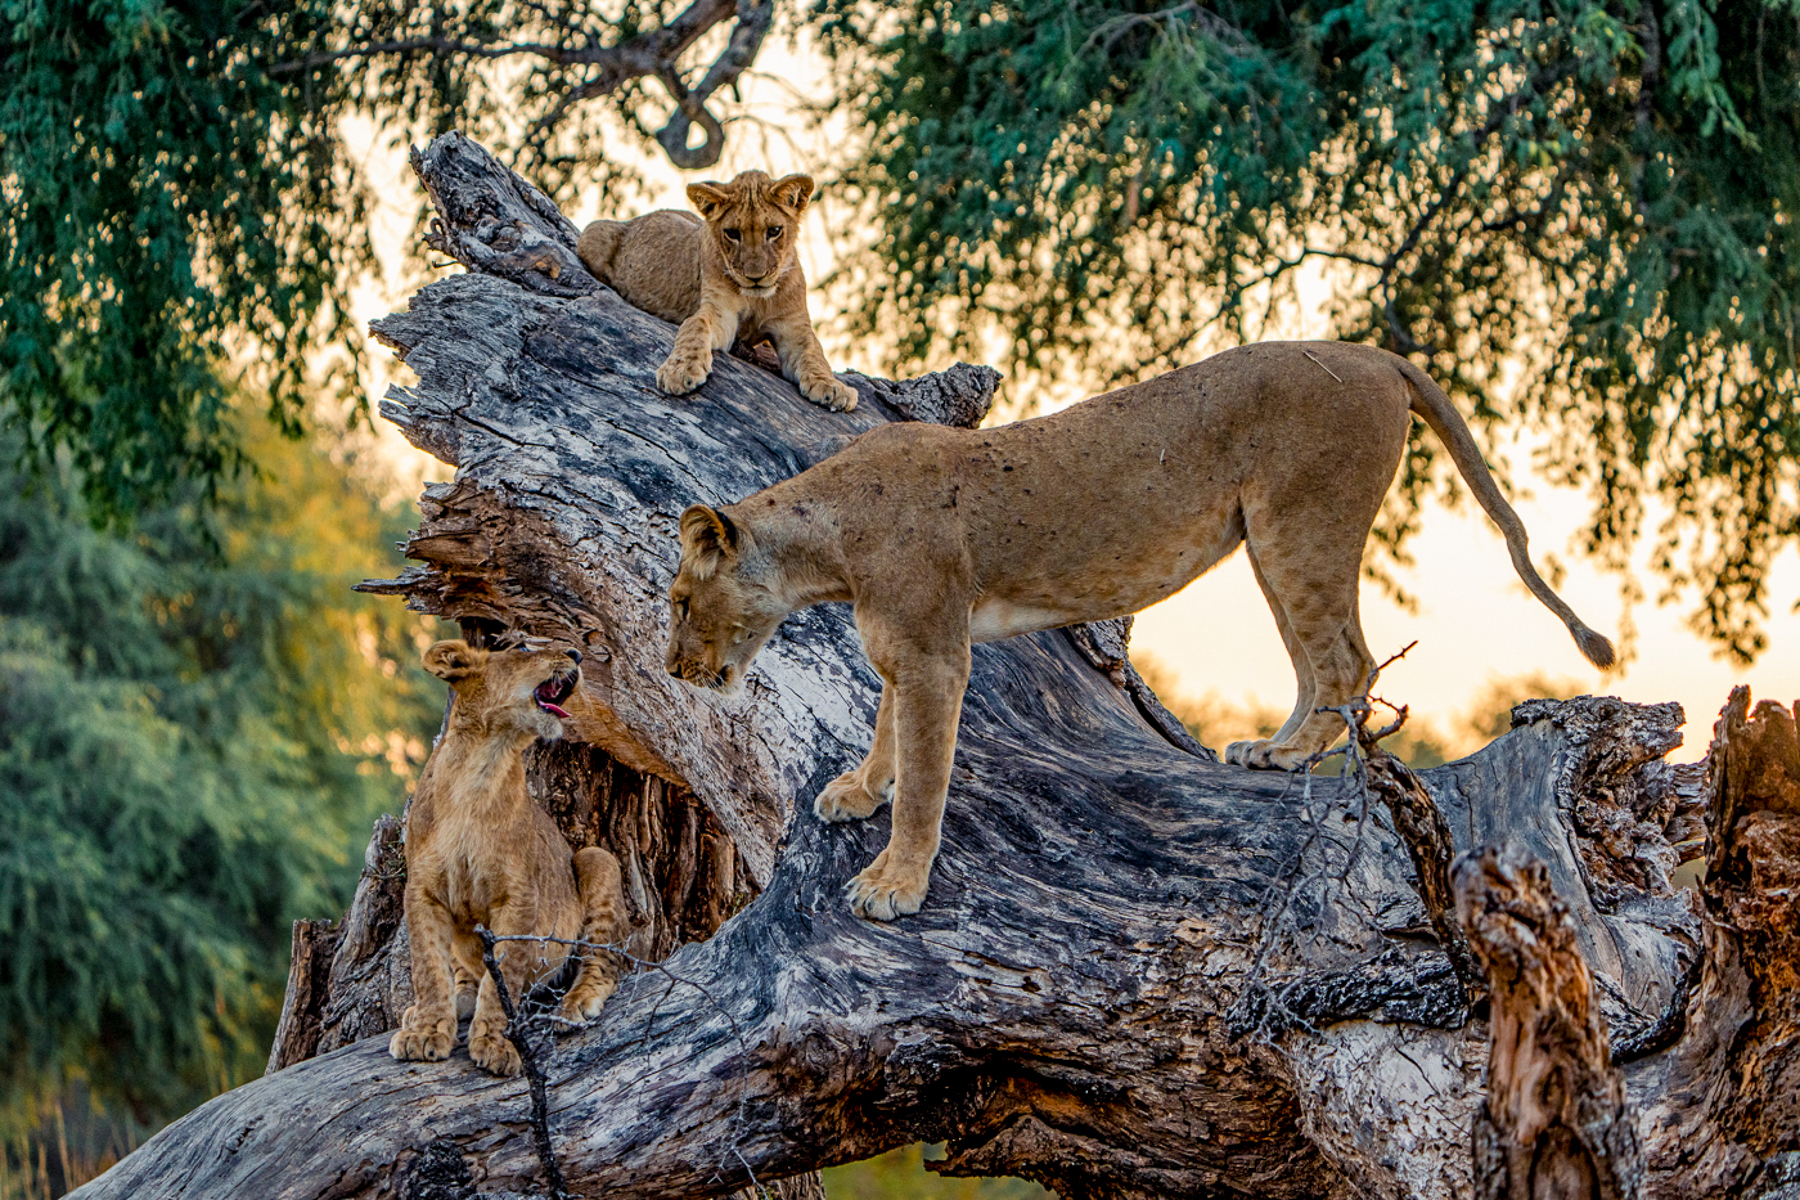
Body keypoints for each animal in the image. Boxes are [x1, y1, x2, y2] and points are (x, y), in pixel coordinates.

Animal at [388, 639, 628, 1076]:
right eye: (524, 647)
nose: (576, 654)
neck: (482, 766)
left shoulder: (519, 896)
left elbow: (506, 973)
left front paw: (496, 1044)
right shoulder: (423, 891)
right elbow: (429, 967)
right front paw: (426, 1031)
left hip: (596, 857)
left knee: (604, 962)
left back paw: (574, 1006)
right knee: (462, 973)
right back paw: (446, 1004)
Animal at [576, 170, 858, 413]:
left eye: (774, 231)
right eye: (732, 233)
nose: (755, 277)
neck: (757, 300)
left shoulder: (793, 326)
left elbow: (814, 352)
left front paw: (833, 387)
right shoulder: (721, 314)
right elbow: (695, 325)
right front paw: (680, 370)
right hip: (592, 232)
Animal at [663, 341, 1616, 921]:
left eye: (676, 601)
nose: (671, 669)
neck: (825, 546)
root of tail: (1370, 351)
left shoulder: (936, 652)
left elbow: (927, 774)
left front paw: (895, 882)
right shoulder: (907, 649)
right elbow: (885, 727)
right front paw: (862, 791)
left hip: (1302, 520)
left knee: (1350, 659)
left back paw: (1292, 756)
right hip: (1269, 538)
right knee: (1317, 661)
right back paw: (1269, 751)